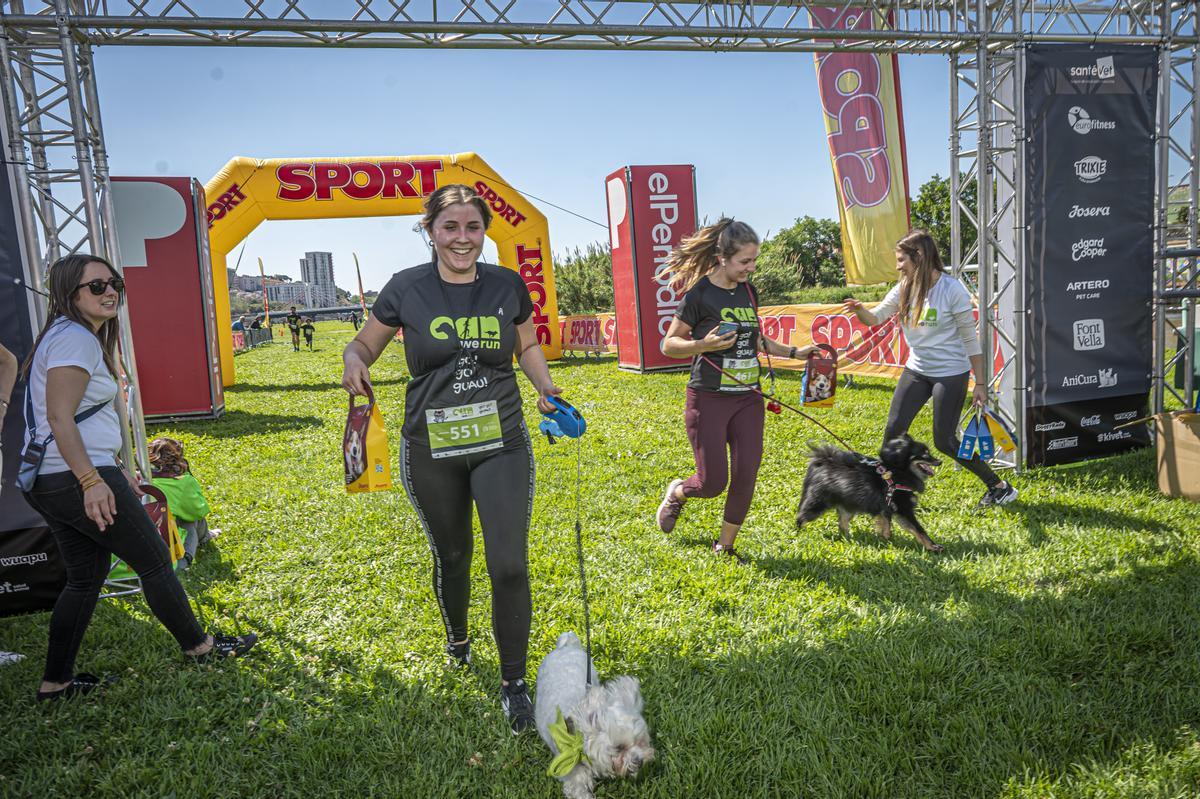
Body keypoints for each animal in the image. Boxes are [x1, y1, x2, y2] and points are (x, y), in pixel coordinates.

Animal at [537, 628, 657, 796]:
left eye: (641, 741)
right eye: (619, 747)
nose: (639, 761)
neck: (576, 740)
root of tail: (566, 646)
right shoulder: (568, 767)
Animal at [796, 431, 945, 551]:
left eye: (929, 453)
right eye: (925, 455)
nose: (940, 461)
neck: (900, 471)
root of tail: (823, 460)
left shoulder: (887, 508)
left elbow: (886, 526)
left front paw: (886, 540)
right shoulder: (903, 509)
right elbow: (919, 529)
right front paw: (933, 546)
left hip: (848, 506)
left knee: (842, 523)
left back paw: (847, 538)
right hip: (818, 504)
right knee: (802, 516)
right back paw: (798, 532)